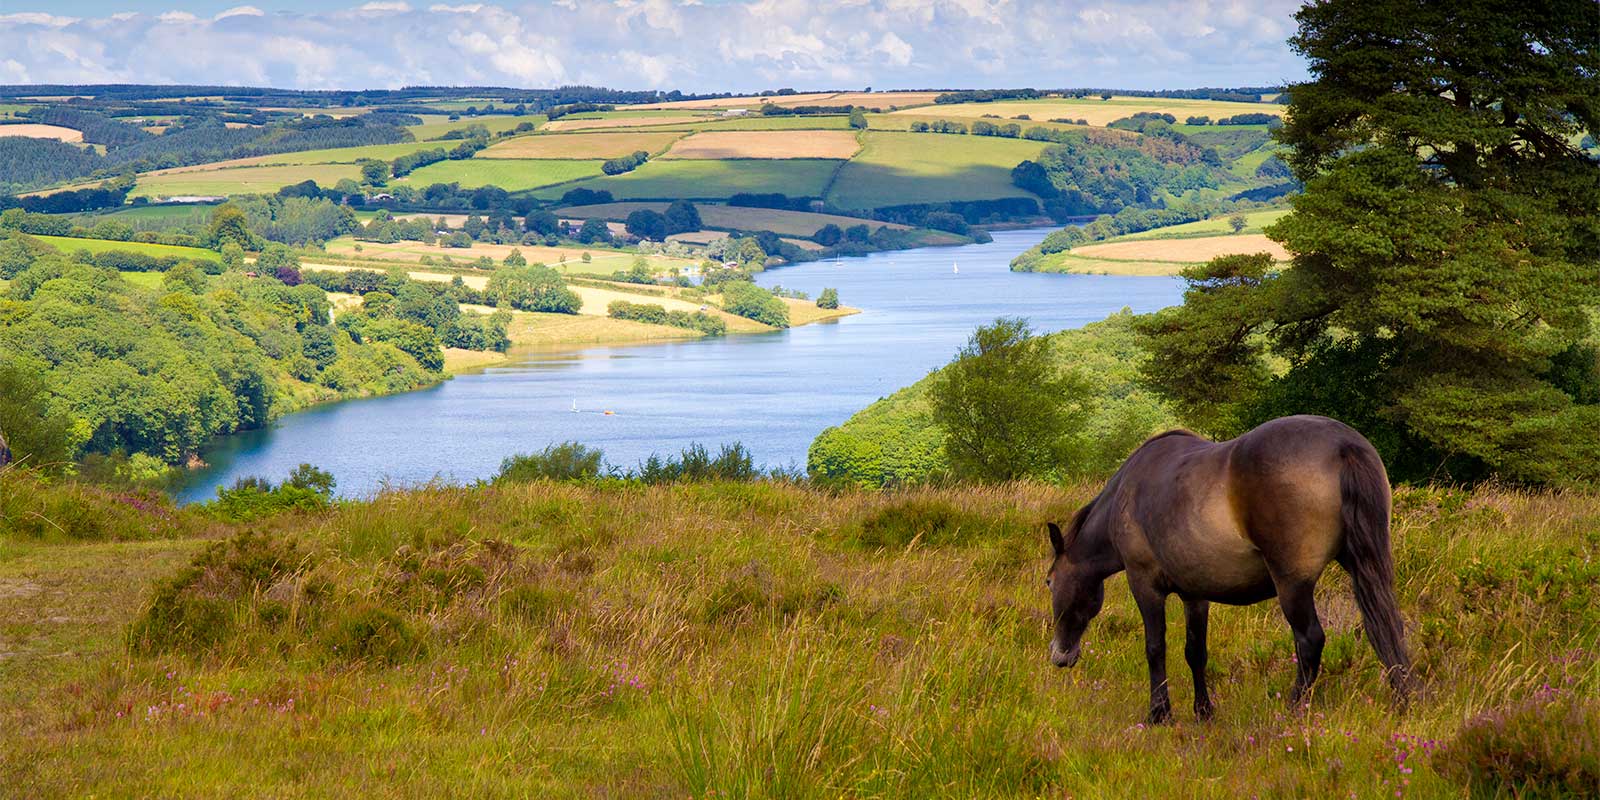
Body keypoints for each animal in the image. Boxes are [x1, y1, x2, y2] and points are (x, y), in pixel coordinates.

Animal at [1043, 415, 1411, 723]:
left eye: (1049, 582)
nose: (1060, 655)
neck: (1127, 493)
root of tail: (1342, 445)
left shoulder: (1144, 584)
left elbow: (1155, 648)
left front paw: (1159, 714)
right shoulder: (1195, 594)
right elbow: (1196, 652)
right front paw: (1203, 711)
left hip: (1293, 585)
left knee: (1309, 640)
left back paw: (1293, 710)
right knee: (1387, 627)